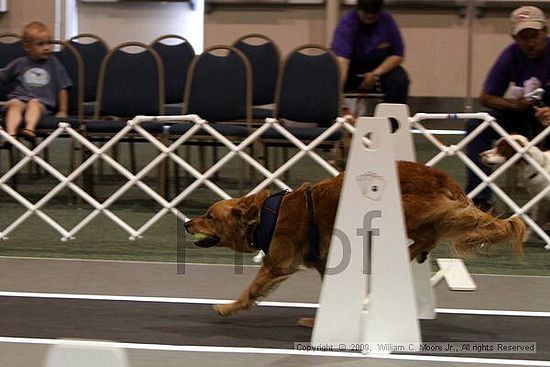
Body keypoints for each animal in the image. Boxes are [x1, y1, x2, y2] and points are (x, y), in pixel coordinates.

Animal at [185, 162, 528, 324]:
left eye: (209, 216)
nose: (187, 223)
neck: (266, 216)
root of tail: (444, 178)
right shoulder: (321, 263)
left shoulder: (277, 263)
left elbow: (251, 289)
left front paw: (228, 308)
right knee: (429, 235)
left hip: (399, 208)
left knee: (426, 235)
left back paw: (409, 251)